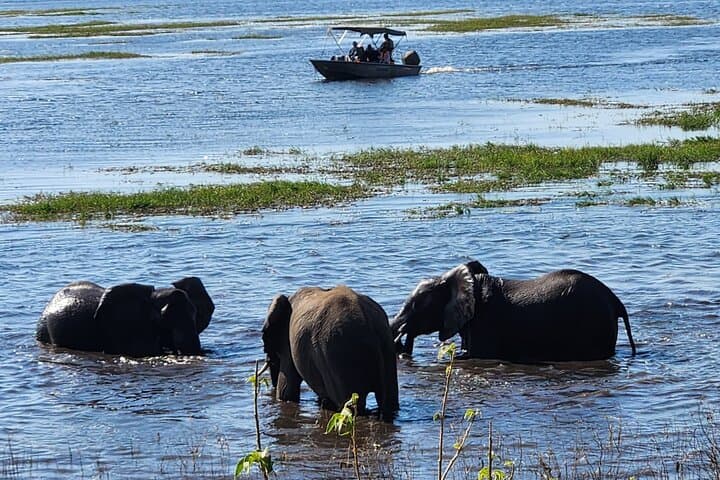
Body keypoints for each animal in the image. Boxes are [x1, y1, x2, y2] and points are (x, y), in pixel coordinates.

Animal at [261, 285, 399, 421]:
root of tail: (369, 323)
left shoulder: (288, 343)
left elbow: (286, 390)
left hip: (341, 355)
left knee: (351, 407)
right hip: (385, 345)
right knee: (389, 401)